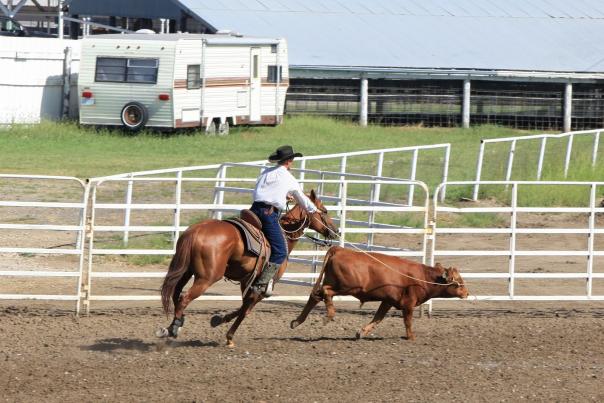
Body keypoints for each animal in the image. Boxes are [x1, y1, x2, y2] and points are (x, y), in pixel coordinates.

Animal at [158, 191, 338, 348]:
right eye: (325, 211)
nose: (335, 231)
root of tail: (195, 231)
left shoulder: (247, 282)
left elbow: (243, 307)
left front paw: (220, 320)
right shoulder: (263, 287)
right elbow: (246, 310)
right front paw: (229, 336)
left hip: (186, 271)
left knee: (175, 294)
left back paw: (174, 325)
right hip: (206, 278)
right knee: (184, 298)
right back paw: (173, 329)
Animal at [290, 246, 470, 340]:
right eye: (458, 282)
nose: (467, 293)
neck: (423, 277)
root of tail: (340, 249)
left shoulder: (388, 301)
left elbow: (378, 318)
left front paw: (361, 332)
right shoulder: (408, 304)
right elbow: (408, 321)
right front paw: (411, 337)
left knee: (315, 296)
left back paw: (297, 321)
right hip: (347, 286)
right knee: (325, 292)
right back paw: (329, 315)